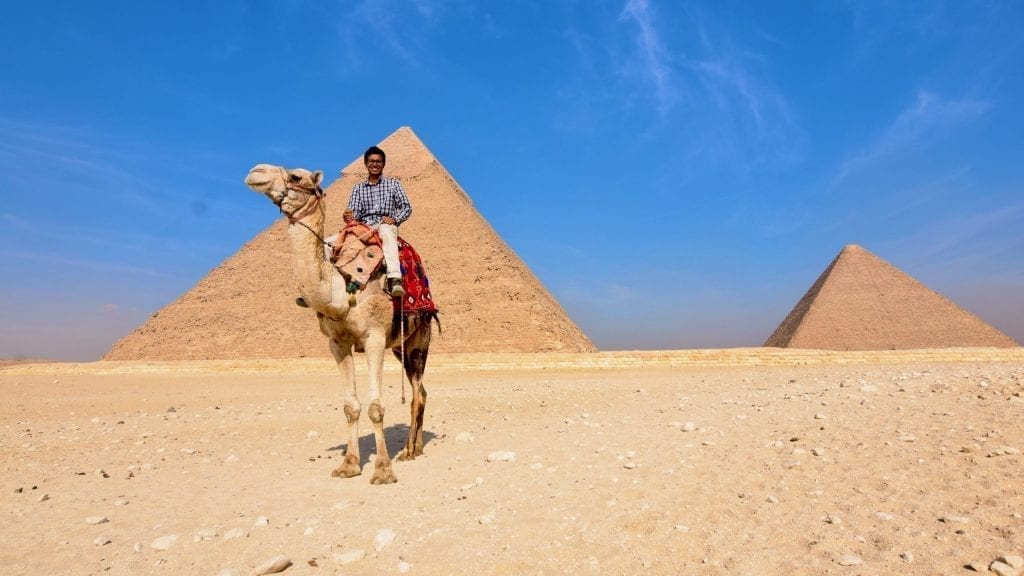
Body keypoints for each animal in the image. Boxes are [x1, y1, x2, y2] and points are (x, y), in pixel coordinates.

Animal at [244, 163, 436, 481]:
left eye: (296, 176)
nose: (255, 171)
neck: (339, 285)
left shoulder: (374, 338)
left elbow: (375, 407)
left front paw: (383, 470)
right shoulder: (337, 343)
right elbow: (350, 407)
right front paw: (348, 465)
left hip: (419, 339)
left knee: (417, 393)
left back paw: (408, 451)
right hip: (400, 348)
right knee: (420, 391)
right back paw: (416, 448)